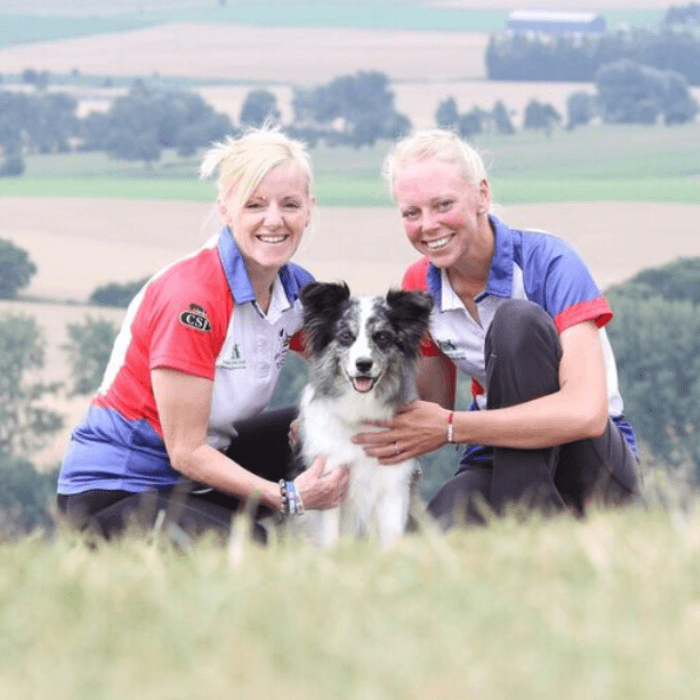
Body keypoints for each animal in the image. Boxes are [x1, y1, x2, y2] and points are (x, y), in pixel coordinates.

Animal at [292, 280, 434, 548]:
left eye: (383, 337)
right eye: (346, 336)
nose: (363, 364)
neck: (359, 413)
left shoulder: (393, 486)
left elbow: (390, 538)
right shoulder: (329, 484)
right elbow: (330, 538)